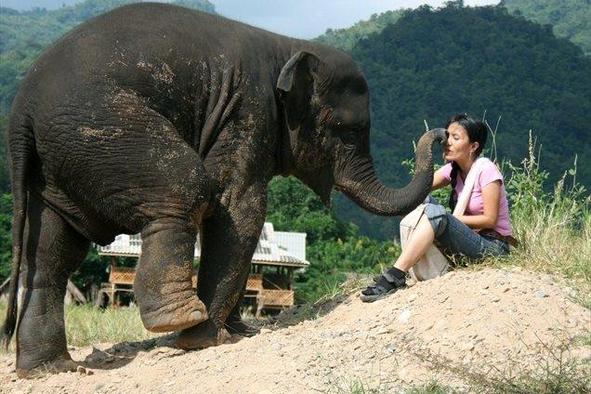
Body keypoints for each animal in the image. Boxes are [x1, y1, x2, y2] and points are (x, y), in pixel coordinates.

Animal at [0, 3, 444, 378]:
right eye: (349, 131)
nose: (439, 133)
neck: (286, 45)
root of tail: (22, 108)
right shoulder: (247, 112)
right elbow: (240, 208)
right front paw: (208, 341)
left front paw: (239, 331)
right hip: (101, 130)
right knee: (184, 187)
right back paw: (179, 318)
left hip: (59, 162)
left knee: (53, 253)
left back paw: (51, 369)